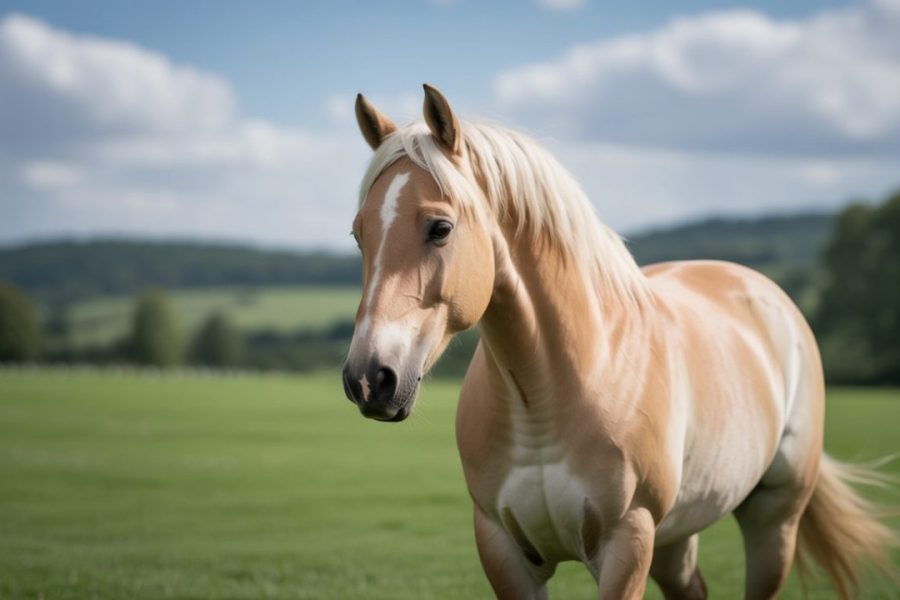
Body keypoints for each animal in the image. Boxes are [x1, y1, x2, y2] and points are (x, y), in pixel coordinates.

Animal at [340, 84, 895, 599]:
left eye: (440, 228)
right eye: (359, 234)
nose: (368, 378)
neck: (550, 395)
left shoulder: (627, 543)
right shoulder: (503, 549)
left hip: (773, 519)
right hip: (677, 538)